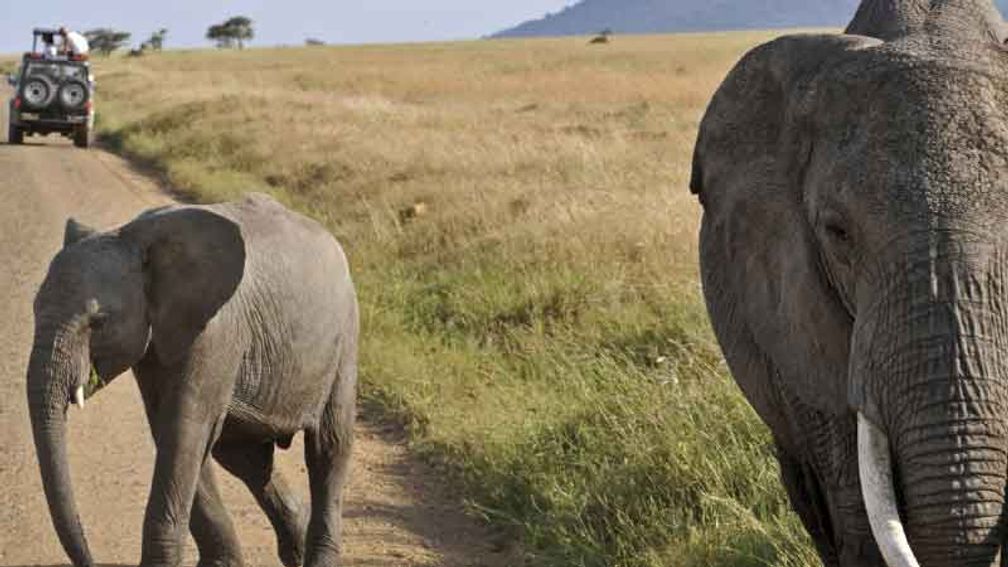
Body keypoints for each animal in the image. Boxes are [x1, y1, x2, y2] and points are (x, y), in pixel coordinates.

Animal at [27, 193, 358, 567]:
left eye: (99, 322)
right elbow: (174, 431)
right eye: (34, 309)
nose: (92, 559)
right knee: (246, 457)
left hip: (345, 336)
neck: (133, 236)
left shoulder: (215, 331)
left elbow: (184, 429)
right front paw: (222, 564)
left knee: (328, 448)